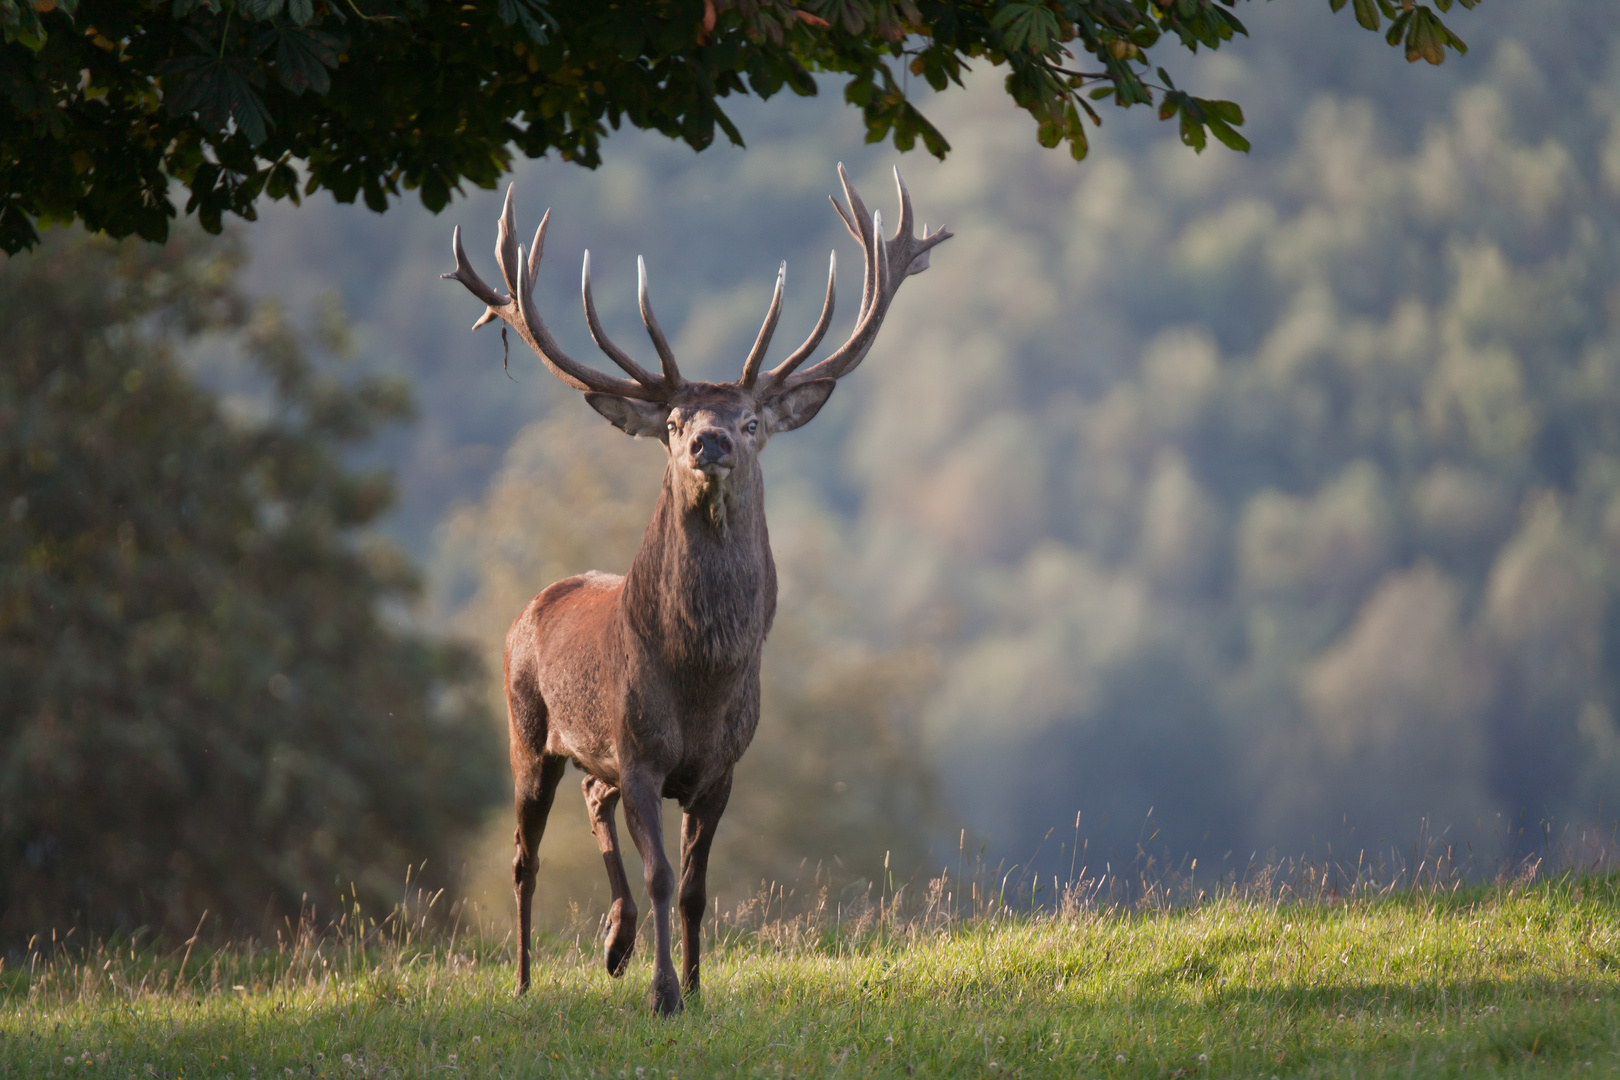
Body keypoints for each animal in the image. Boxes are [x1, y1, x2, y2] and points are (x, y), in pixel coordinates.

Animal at [440, 162, 946, 1016]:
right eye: (674, 422)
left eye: (750, 421)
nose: (709, 442)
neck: (701, 678)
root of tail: (533, 605)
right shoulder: (641, 752)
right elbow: (660, 875)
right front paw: (664, 994)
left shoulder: (721, 769)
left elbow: (697, 890)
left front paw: (700, 987)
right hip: (526, 726)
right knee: (523, 855)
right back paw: (525, 978)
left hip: (590, 752)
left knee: (593, 799)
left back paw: (613, 943)